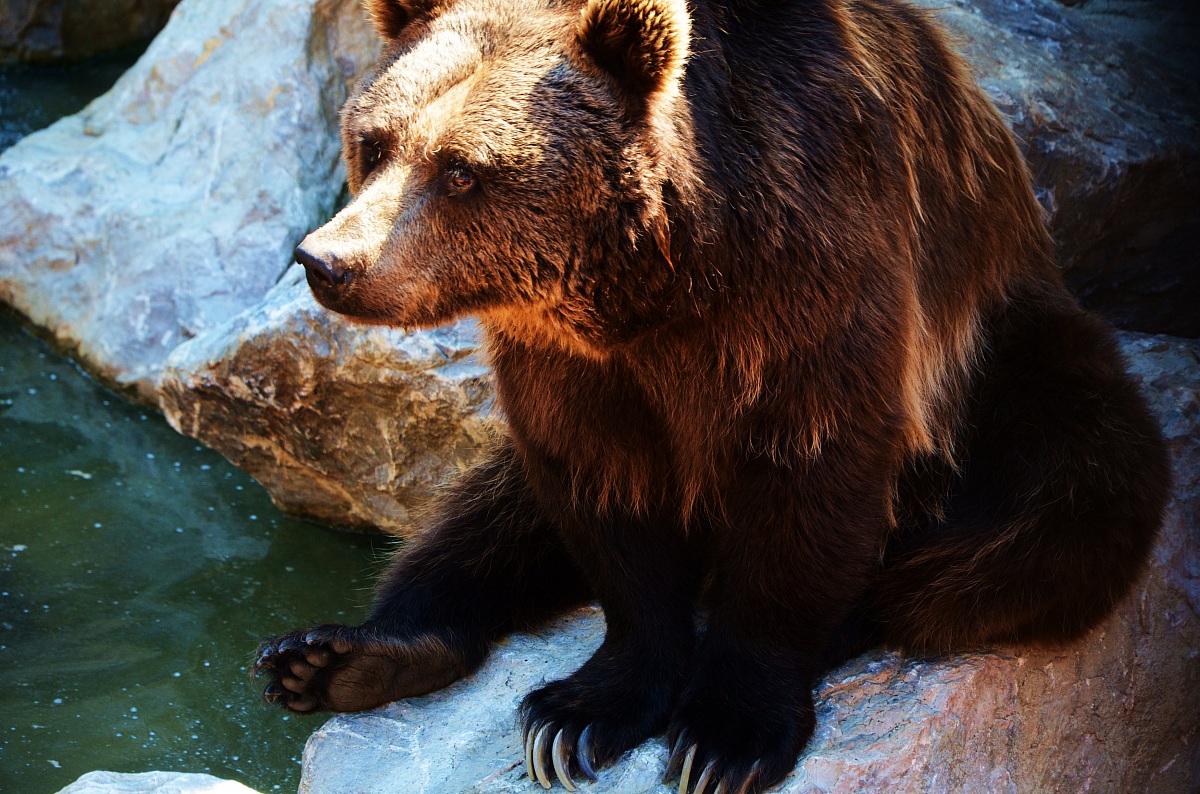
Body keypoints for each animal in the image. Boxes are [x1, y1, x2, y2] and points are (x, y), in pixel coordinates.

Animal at [253, 0, 1170, 790]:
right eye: (374, 142)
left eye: (463, 172)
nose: (329, 261)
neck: (661, 279)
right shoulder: (573, 366)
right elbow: (603, 499)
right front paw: (580, 713)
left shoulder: (813, 273)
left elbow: (809, 477)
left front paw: (726, 735)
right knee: (483, 508)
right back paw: (339, 657)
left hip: (1014, 364)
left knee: (1041, 520)